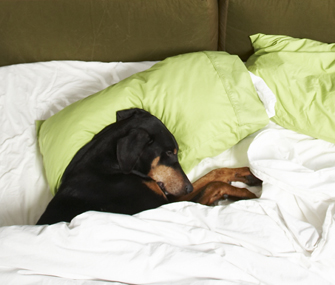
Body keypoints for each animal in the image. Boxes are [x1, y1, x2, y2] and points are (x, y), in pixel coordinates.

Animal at [37, 107, 262, 223]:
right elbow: (213, 186)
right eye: (170, 153)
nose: (187, 187)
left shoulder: (169, 196)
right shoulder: (160, 205)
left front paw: (248, 174)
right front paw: (245, 194)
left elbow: (214, 173)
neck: (110, 168)